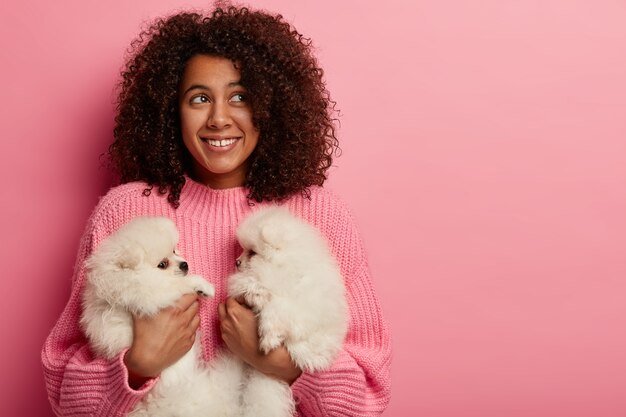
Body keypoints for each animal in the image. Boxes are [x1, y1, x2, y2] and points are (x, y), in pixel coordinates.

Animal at [78, 216, 244, 416]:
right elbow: (176, 284)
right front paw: (202, 286)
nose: (185, 264)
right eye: (162, 264)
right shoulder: (150, 293)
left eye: (174, 250)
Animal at [225, 206, 352, 416]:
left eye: (252, 252)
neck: (281, 265)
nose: (236, 261)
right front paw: (255, 294)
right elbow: (253, 286)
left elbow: (276, 310)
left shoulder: (299, 304)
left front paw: (268, 339)